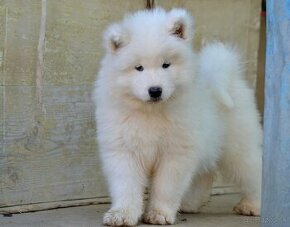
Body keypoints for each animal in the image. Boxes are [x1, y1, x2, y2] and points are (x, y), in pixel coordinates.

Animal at [94, 7, 262, 226]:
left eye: (166, 65)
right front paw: (122, 214)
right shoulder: (124, 150)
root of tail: (225, 72)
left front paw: (159, 214)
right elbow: (126, 186)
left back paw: (253, 205)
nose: (155, 90)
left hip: (238, 147)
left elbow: (166, 187)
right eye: (138, 67)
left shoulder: (175, 153)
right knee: (204, 175)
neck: (151, 112)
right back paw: (191, 204)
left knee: (253, 172)